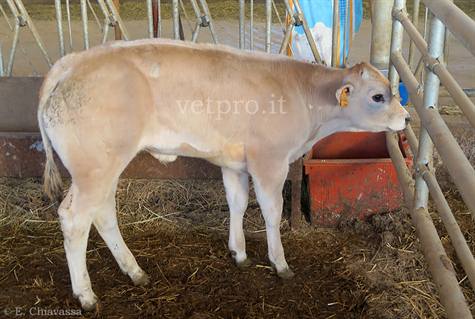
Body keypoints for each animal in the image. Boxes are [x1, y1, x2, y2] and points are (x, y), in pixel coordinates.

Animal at [38, 38, 410, 312]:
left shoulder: (233, 162)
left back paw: (135, 271)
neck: (305, 98)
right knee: (74, 218)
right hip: (94, 168)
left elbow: (237, 203)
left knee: (103, 213)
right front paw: (279, 263)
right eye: (378, 96)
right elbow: (271, 212)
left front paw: (239, 253)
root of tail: (72, 61)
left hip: (106, 166)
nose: (407, 118)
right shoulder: (269, 161)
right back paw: (86, 295)